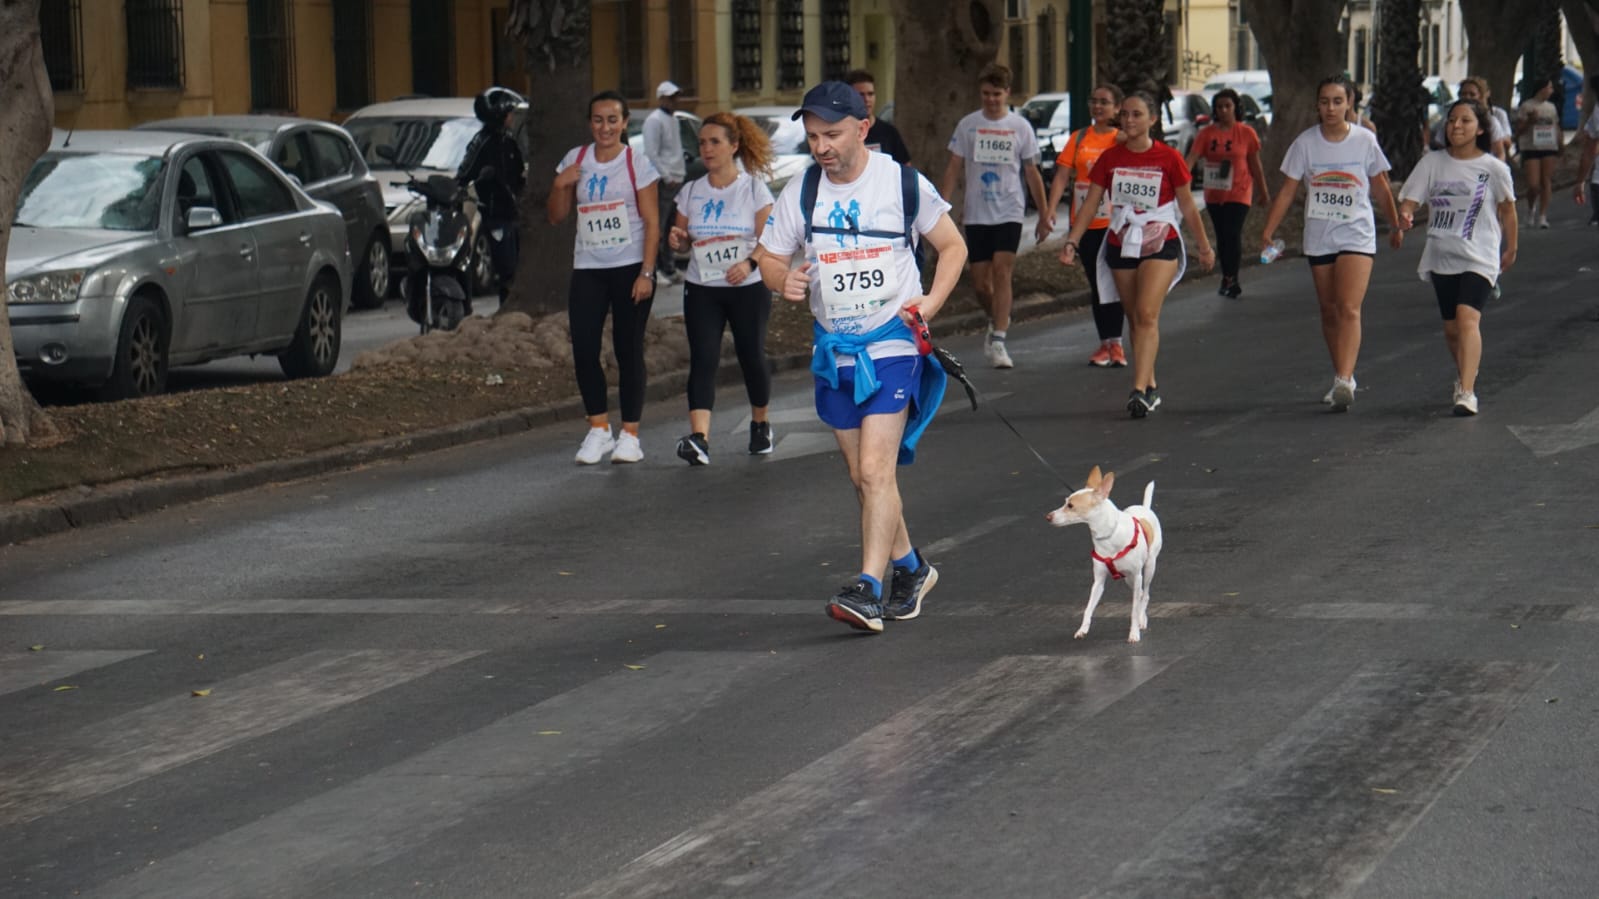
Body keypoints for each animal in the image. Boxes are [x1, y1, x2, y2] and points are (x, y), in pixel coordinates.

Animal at [1048, 463, 1164, 639]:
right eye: (1065, 502)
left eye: (1071, 506)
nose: (1048, 517)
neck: (1109, 536)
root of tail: (1145, 508)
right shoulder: (1098, 582)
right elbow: (1088, 608)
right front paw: (1083, 629)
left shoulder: (1138, 575)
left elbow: (1134, 610)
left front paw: (1134, 633)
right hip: (1129, 579)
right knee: (1142, 593)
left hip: (1149, 568)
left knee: (1145, 594)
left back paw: (1141, 620)